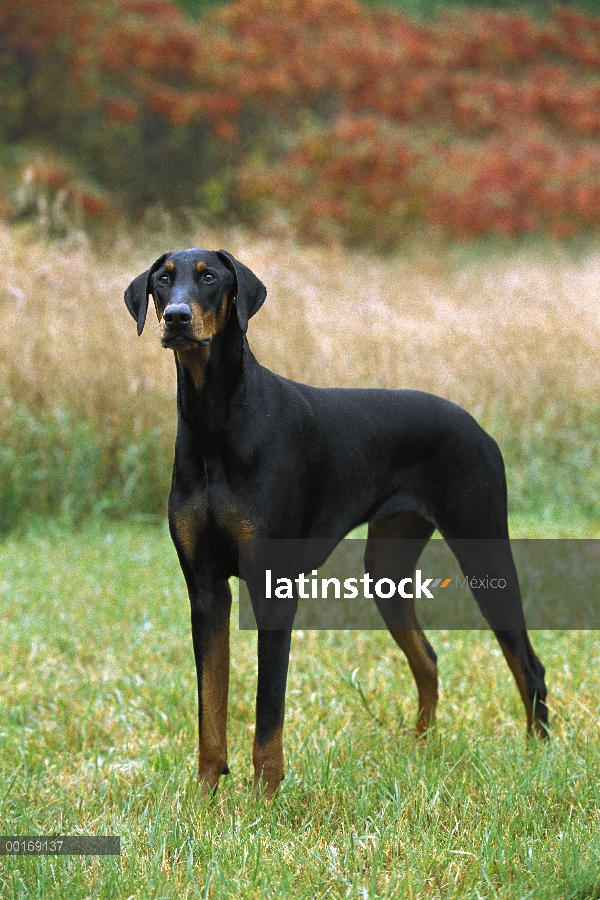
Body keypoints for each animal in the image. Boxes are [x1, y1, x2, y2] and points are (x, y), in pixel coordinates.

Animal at [125, 248, 548, 800]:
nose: (175, 318)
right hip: (386, 569)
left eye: (210, 278)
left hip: (483, 550)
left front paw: (264, 800)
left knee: (528, 663)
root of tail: (477, 426)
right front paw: (204, 800)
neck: (216, 422)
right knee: (428, 658)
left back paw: (537, 753)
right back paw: (421, 748)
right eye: (162, 280)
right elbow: (209, 712)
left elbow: (268, 713)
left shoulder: (272, 587)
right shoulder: (206, 589)